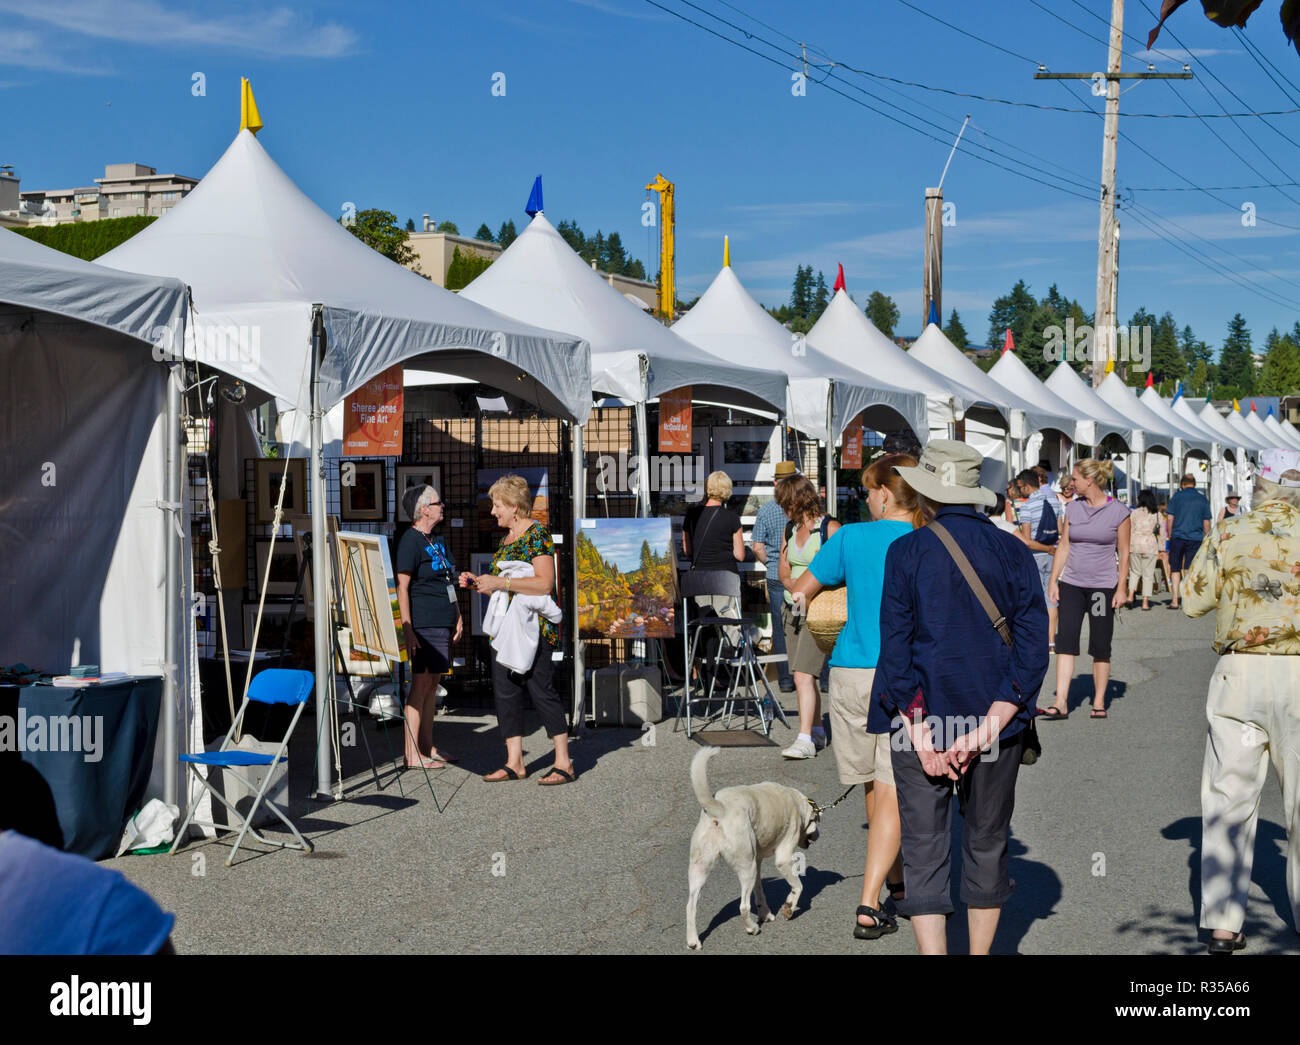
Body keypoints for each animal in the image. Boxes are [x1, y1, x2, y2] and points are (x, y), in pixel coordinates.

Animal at [686, 743, 816, 946]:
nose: (817, 835)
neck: (794, 801)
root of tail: (721, 809)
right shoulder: (783, 860)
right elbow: (798, 887)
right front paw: (789, 907)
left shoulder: (758, 863)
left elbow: (760, 892)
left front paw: (766, 914)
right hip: (746, 868)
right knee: (744, 906)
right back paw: (752, 928)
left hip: (701, 868)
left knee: (690, 906)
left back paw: (693, 941)